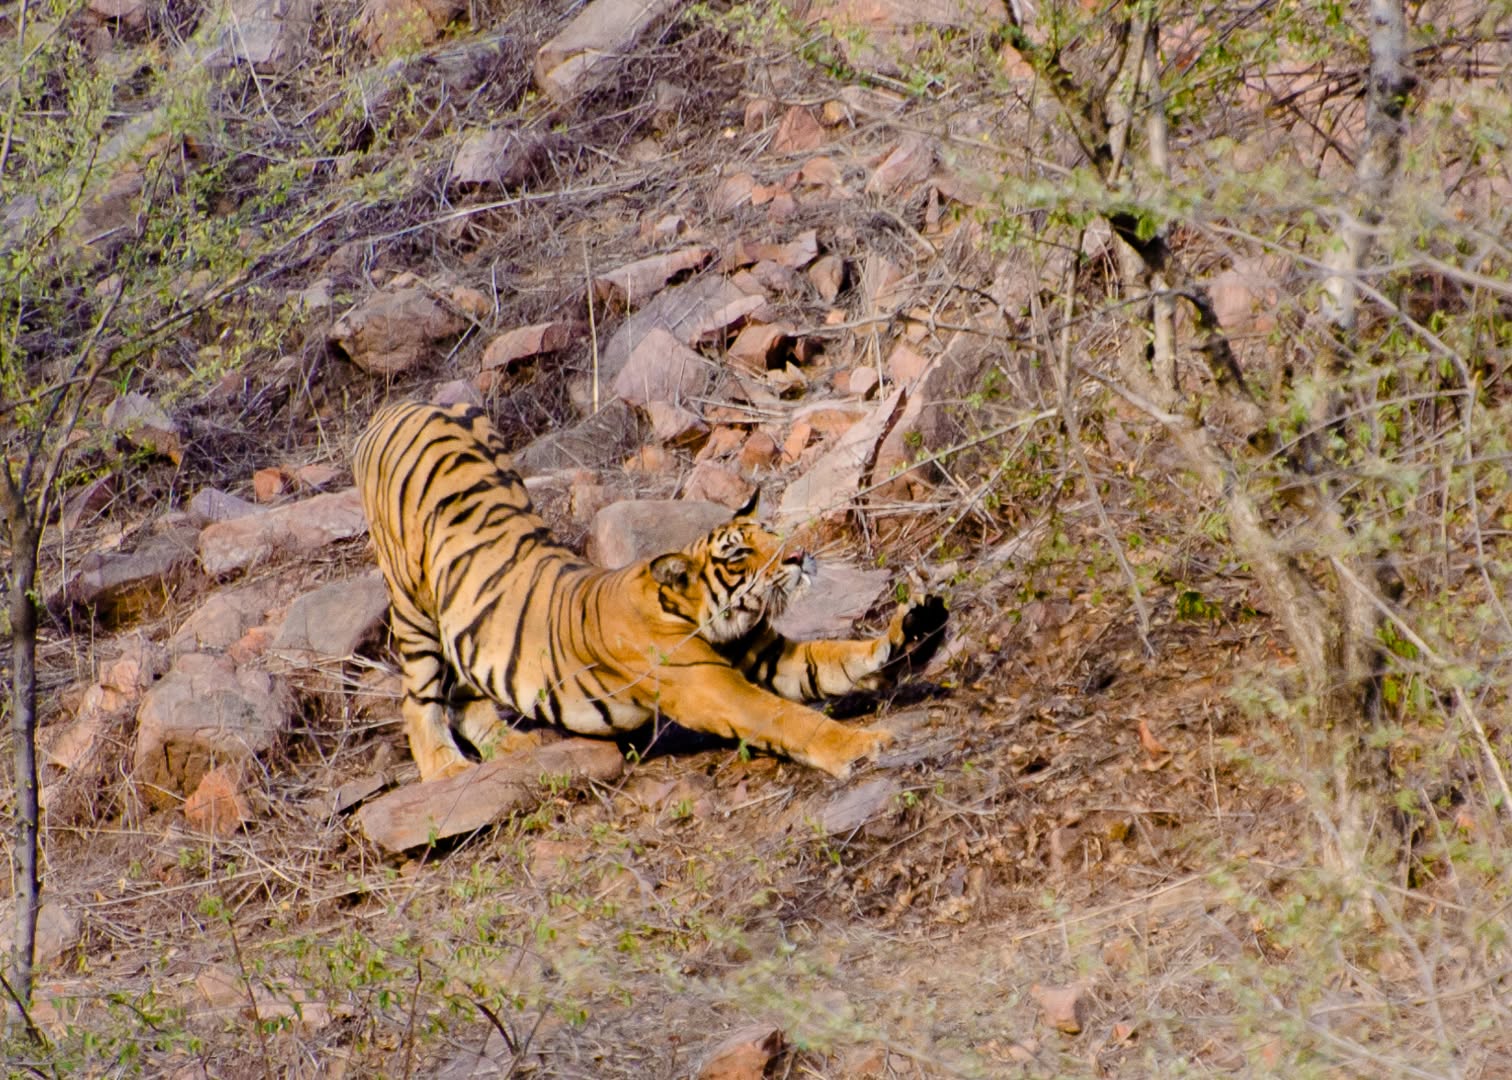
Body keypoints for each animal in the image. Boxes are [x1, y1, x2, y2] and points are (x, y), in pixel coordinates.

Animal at [352, 401, 948, 782]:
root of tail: (397, 407)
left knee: (465, 689)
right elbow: (788, 717)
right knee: (419, 697)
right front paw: (862, 746)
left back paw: (519, 747)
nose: (799, 556)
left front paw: (915, 629)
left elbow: (836, 656)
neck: (709, 617)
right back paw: (445, 768)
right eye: (739, 554)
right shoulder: (710, 686)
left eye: (770, 534)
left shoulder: (766, 654)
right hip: (411, 603)